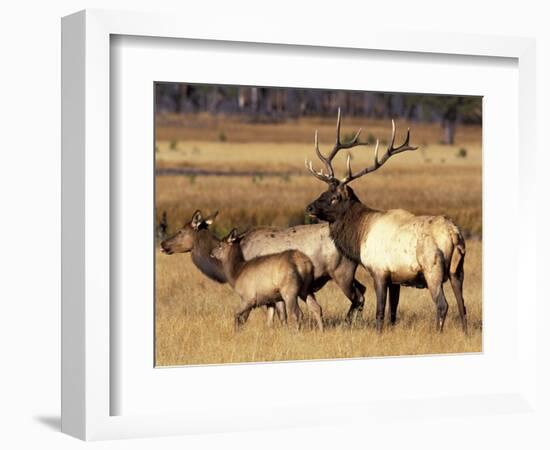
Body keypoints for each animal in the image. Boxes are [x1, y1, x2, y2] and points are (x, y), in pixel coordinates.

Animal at [304, 109, 468, 334]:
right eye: (323, 191)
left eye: (334, 197)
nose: (310, 208)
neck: (360, 235)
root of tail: (454, 234)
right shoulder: (395, 278)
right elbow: (393, 312)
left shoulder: (379, 271)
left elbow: (380, 311)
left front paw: (378, 333)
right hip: (457, 270)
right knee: (462, 305)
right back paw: (465, 334)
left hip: (432, 268)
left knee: (442, 304)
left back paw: (438, 333)